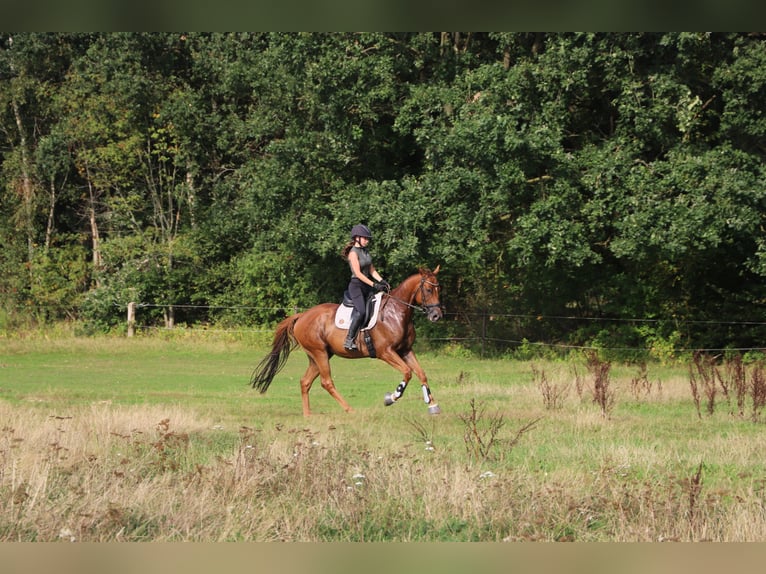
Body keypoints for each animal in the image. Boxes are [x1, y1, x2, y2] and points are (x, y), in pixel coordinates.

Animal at [250, 266, 443, 416]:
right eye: (428, 290)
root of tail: (302, 316)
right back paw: (349, 409)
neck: (396, 312)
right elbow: (407, 372)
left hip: (319, 356)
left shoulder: (406, 350)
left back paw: (308, 415)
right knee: (326, 382)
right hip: (319, 353)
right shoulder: (386, 352)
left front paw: (432, 405)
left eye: (438, 289)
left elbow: (421, 373)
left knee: (305, 382)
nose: (436, 316)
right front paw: (391, 398)